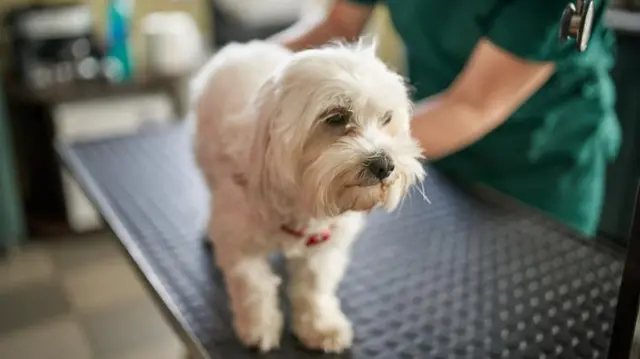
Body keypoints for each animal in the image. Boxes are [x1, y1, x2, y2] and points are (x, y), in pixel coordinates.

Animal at [190, 39, 424, 354]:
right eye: (336, 117)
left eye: (386, 118)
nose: (384, 164)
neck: (302, 203)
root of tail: (243, 46)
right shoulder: (241, 243)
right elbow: (254, 286)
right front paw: (259, 327)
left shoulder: (325, 244)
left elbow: (314, 288)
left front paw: (320, 327)